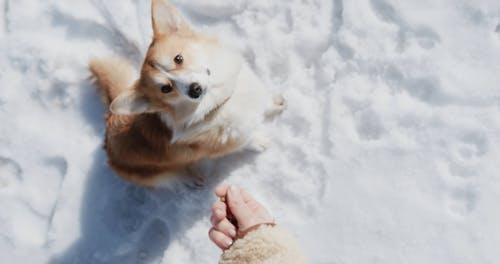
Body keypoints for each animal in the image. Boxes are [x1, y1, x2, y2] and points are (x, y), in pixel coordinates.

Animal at [89, 0, 286, 188]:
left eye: (178, 59)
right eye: (165, 89)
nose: (194, 89)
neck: (218, 103)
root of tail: (108, 122)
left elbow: (266, 104)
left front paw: (276, 104)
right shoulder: (233, 140)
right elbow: (247, 141)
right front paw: (259, 142)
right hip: (156, 175)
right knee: (173, 177)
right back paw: (190, 179)